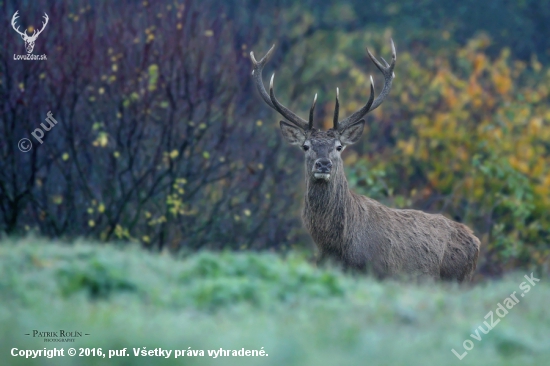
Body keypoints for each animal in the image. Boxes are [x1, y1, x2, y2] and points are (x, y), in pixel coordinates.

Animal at [250, 39, 478, 280]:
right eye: (306, 146)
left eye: (339, 147)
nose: (323, 164)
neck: (337, 247)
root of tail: (476, 241)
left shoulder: (379, 272)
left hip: (456, 278)